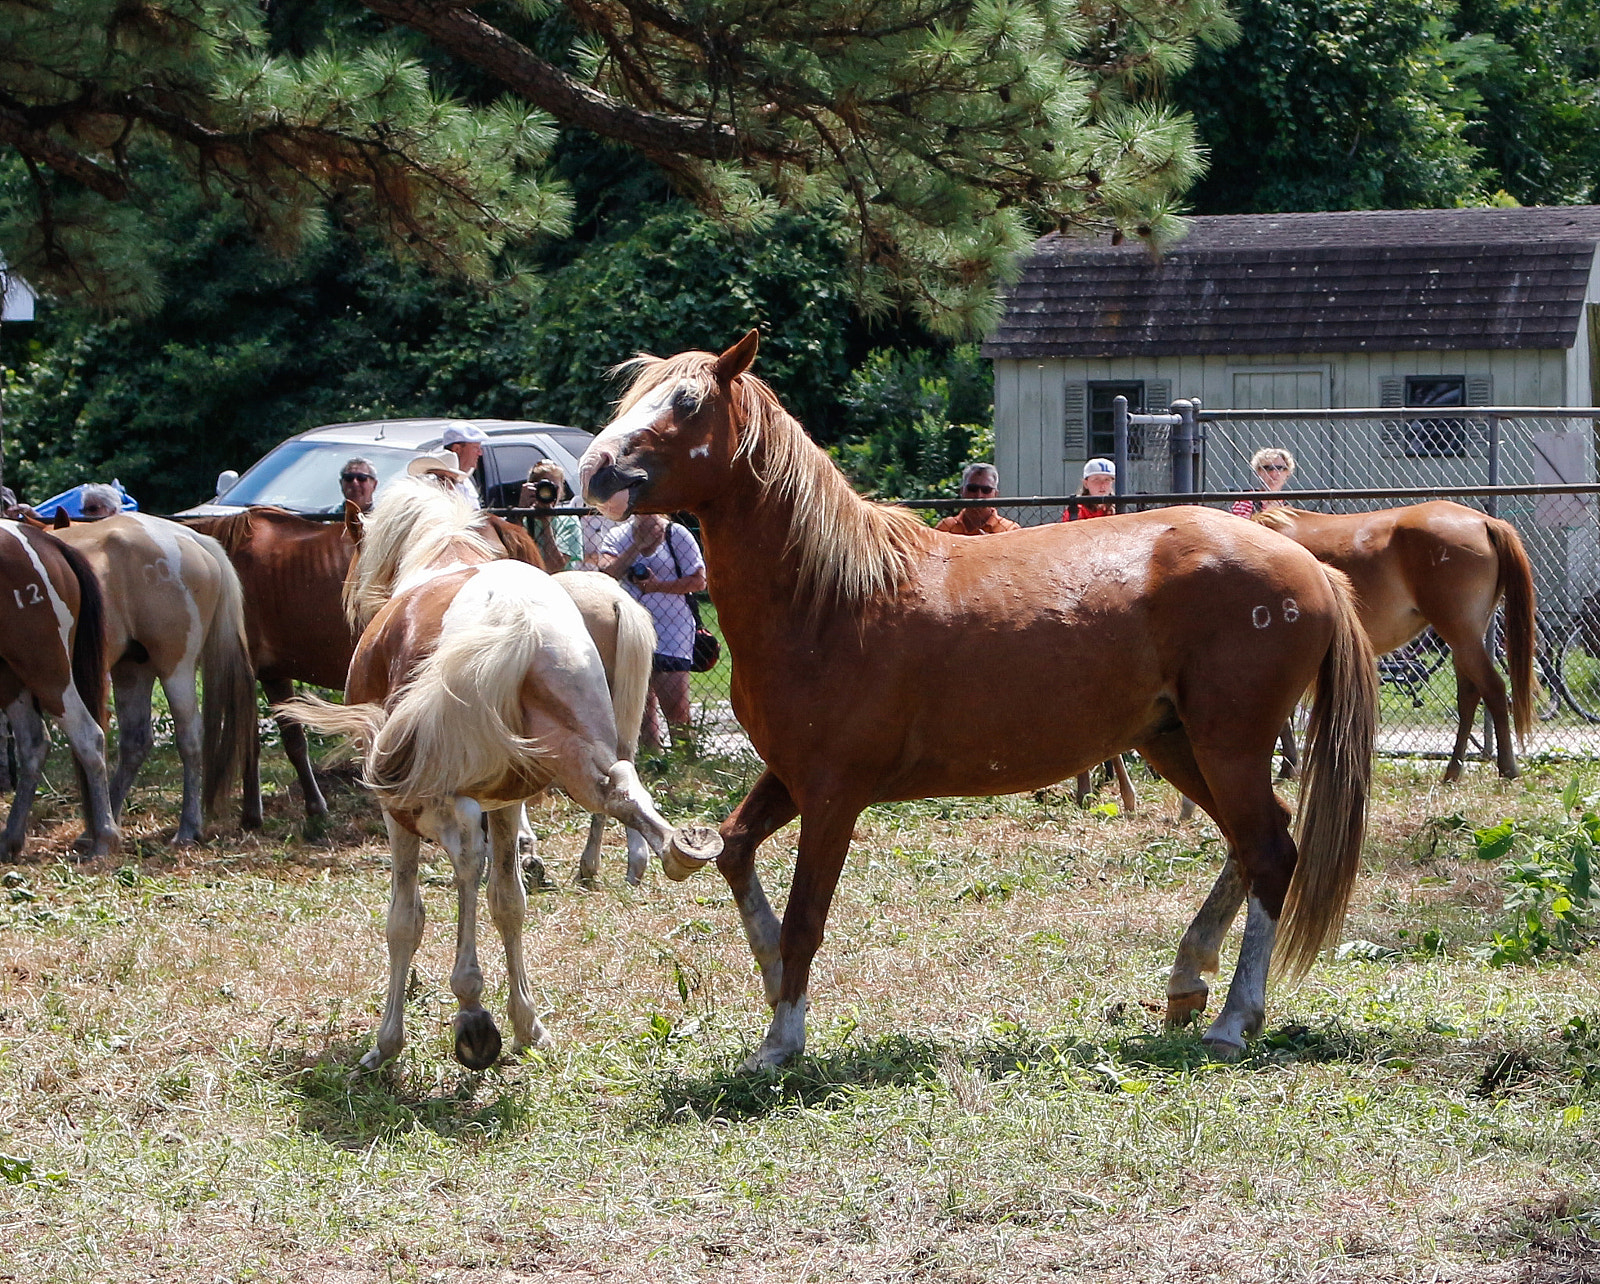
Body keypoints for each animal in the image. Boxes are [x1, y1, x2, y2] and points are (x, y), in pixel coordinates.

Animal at [0, 521, 121, 858]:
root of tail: (44, 542)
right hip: (12, 677)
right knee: (33, 744)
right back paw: (10, 838)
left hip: (46, 669)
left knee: (88, 736)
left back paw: (104, 837)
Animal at [54, 515, 255, 844]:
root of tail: (192, 538)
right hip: (132, 669)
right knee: (135, 741)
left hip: (175, 668)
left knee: (189, 738)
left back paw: (187, 828)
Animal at [280, 478, 721, 1070]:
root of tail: (516, 623)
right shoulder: (507, 801)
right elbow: (508, 902)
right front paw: (527, 1024)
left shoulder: (405, 811)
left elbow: (406, 918)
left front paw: (389, 1041)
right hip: (579, 752)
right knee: (621, 789)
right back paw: (676, 850)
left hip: (427, 796)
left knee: (466, 853)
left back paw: (471, 1010)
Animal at [580, 331, 1377, 1068]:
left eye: (687, 403)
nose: (596, 469)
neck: (829, 595)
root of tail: (1311, 567)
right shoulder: (791, 775)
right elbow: (733, 849)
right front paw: (773, 977)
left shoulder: (834, 795)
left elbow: (807, 916)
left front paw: (781, 1039)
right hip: (1175, 742)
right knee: (1253, 844)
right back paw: (1188, 980)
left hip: (1227, 744)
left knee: (1270, 851)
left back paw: (1235, 1019)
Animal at [1255, 503, 1536, 782]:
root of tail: (1485, 522)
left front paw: (1288, 766)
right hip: (1464, 639)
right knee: (1469, 695)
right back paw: (1454, 770)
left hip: (1461, 633)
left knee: (1494, 689)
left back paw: (1507, 768)